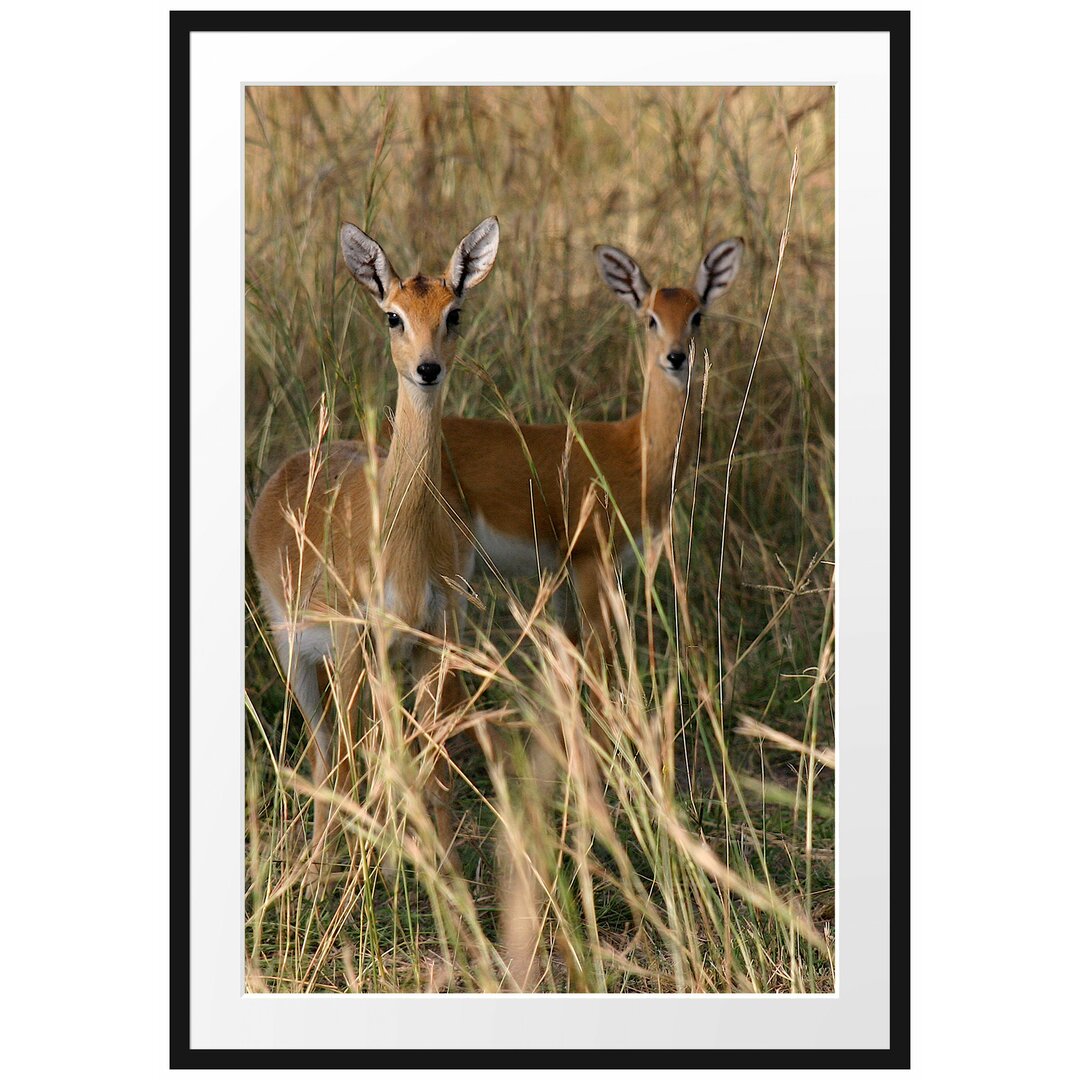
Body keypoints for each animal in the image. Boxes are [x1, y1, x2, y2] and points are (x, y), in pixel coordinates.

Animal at [248, 214, 496, 881]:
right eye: (393, 315)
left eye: (454, 310)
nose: (428, 369)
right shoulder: (357, 640)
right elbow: (360, 758)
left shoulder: (436, 637)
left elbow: (434, 769)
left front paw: (447, 874)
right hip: (301, 655)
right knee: (328, 750)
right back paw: (317, 866)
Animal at [438, 239, 743, 673]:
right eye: (650, 318)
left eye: (696, 315)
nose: (675, 357)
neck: (637, 451)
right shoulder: (590, 560)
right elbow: (599, 653)